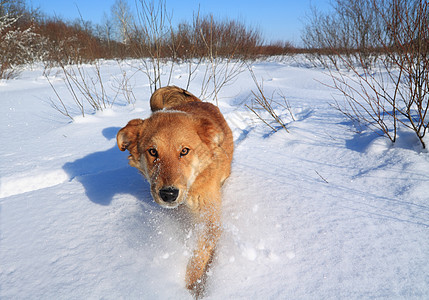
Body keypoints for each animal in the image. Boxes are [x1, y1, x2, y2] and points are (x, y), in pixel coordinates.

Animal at [115, 86, 232, 296]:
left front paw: (192, 286)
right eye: (153, 151)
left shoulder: (209, 218)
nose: (168, 194)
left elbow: (199, 255)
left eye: (184, 151)